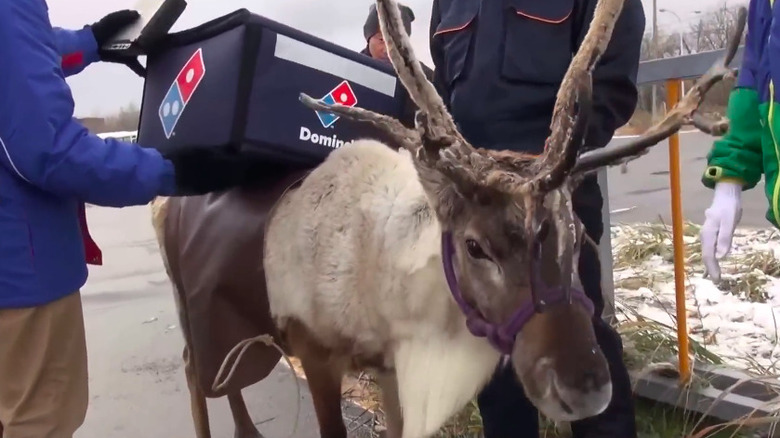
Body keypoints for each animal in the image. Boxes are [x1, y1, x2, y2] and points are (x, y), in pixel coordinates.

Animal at [150, 0, 745, 436]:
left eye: (578, 239)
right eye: (476, 245)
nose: (587, 388)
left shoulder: (389, 365)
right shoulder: (315, 352)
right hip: (193, 305)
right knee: (193, 369)